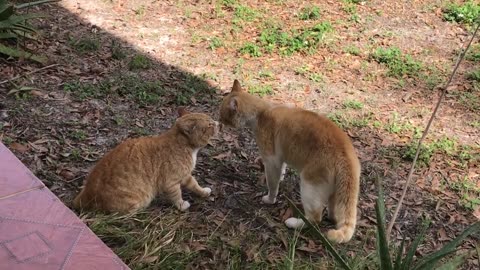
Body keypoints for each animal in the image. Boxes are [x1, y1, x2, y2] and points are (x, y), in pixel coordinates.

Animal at [72, 107, 218, 213]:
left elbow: (195, 184)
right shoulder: (171, 182)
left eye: (212, 121)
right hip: (136, 202)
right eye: (210, 125)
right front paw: (182, 205)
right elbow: (177, 196)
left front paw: (203, 192)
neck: (188, 148)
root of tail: (86, 193)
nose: (217, 123)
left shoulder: (185, 175)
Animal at [220, 79, 360, 244]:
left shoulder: (271, 160)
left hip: (309, 185)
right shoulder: (280, 159)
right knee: (334, 210)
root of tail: (346, 154)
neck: (262, 111)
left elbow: (272, 184)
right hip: (334, 191)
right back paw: (332, 217)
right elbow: (281, 171)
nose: (218, 121)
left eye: (222, 115)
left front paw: (270, 199)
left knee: (315, 218)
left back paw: (294, 223)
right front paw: (282, 177)